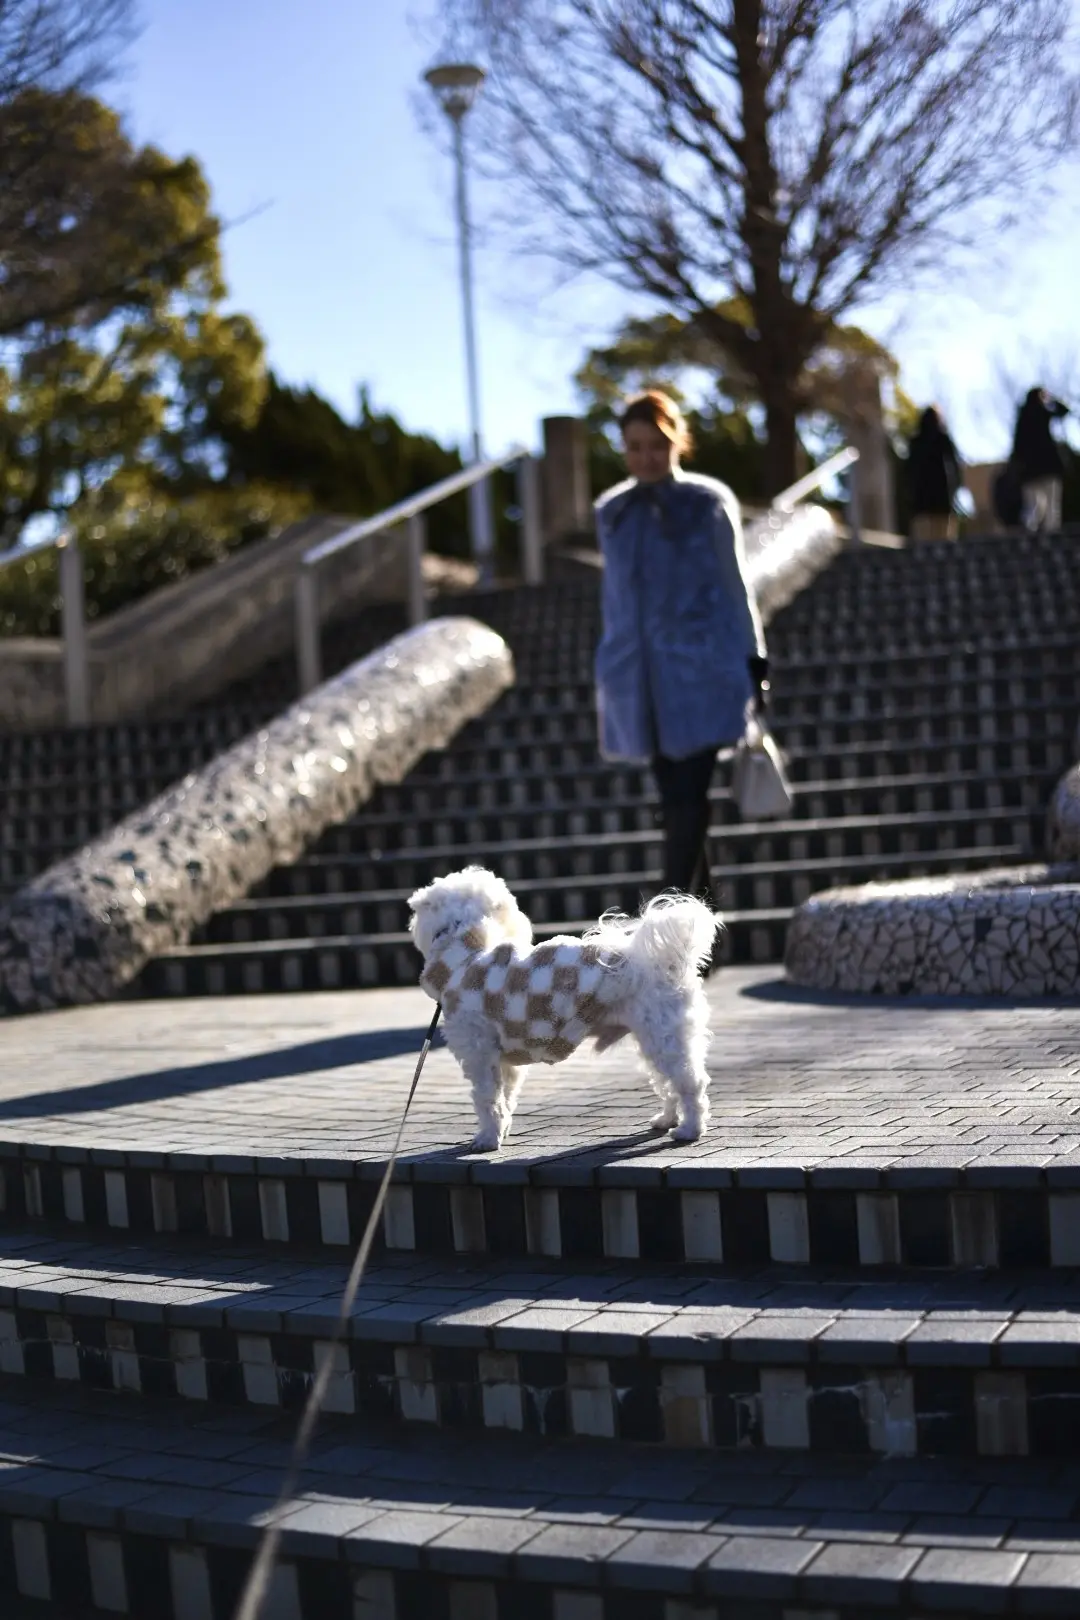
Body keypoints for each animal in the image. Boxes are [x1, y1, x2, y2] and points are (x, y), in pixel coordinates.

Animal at [404, 861, 718, 1153]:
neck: (464, 956)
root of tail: (661, 961)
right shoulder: (504, 1059)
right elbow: (505, 1096)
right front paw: (501, 1129)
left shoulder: (478, 1051)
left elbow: (487, 1098)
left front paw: (487, 1139)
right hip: (651, 1035)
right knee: (667, 1082)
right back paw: (667, 1119)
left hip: (665, 1034)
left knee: (690, 1082)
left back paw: (690, 1129)